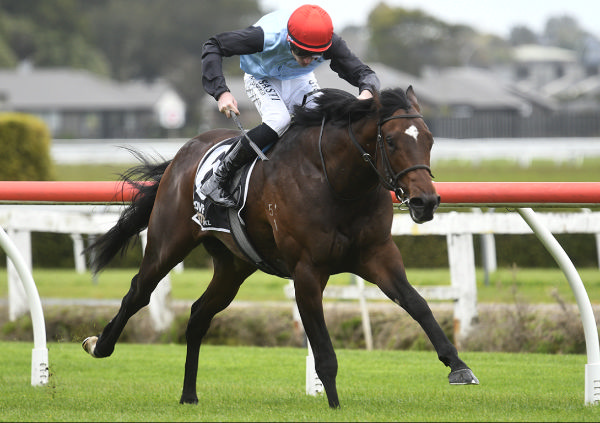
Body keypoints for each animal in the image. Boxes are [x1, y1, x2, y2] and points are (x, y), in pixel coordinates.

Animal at [83, 86, 478, 408]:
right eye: (392, 141)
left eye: (429, 139)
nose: (426, 201)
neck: (337, 182)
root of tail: (183, 154)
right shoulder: (307, 271)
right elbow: (323, 350)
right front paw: (335, 405)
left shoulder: (377, 254)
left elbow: (417, 303)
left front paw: (458, 366)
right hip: (168, 243)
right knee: (139, 291)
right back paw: (100, 345)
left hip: (234, 266)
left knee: (198, 315)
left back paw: (189, 394)